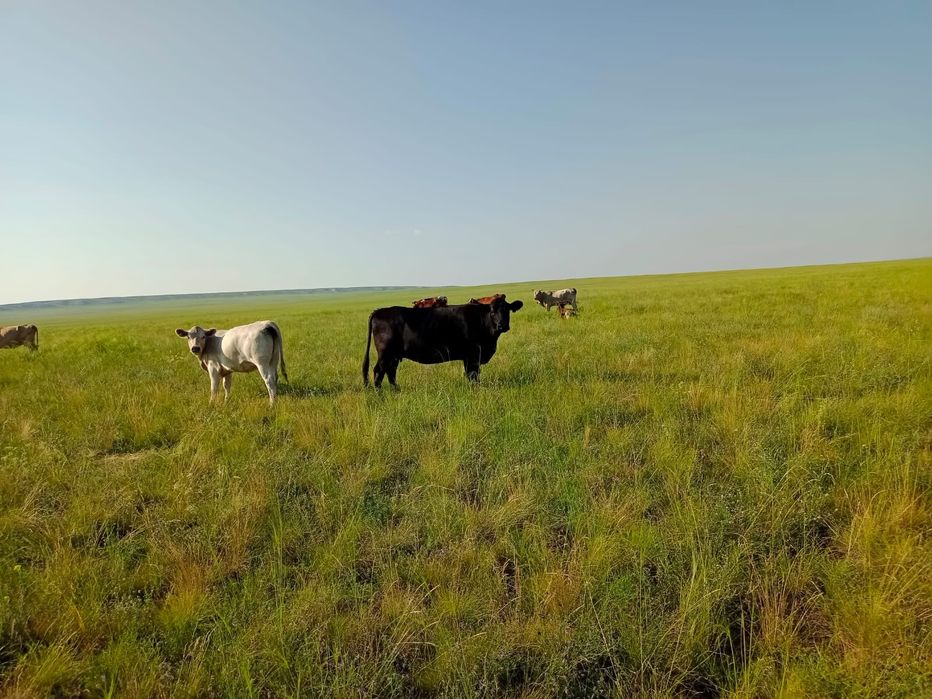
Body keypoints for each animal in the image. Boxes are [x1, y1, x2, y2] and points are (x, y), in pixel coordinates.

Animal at [362, 297, 524, 387]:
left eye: (507, 310)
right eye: (492, 311)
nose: (502, 325)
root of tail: (379, 311)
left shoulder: (469, 356)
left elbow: (470, 374)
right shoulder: (473, 353)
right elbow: (473, 375)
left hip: (394, 355)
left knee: (391, 371)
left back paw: (396, 390)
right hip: (385, 353)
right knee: (379, 371)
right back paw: (379, 394)